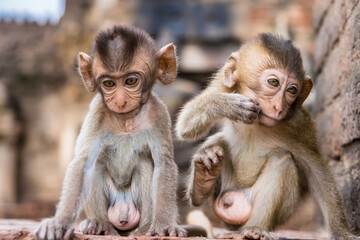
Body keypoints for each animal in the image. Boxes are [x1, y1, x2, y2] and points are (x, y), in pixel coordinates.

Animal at [34, 25, 187, 239]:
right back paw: (99, 224)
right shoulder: (97, 111)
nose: (121, 101)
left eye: (130, 81)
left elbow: (163, 164)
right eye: (109, 84)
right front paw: (59, 222)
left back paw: (144, 228)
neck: (126, 121)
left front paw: (164, 225)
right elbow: (84, 163)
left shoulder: (159, 114)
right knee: (96, 165)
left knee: (143, 165)